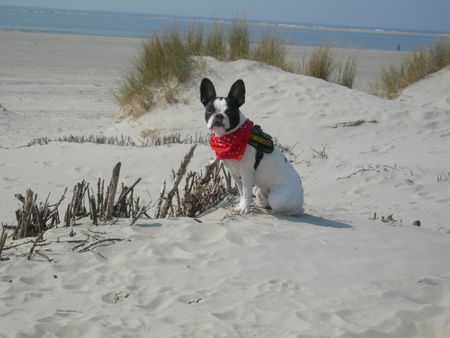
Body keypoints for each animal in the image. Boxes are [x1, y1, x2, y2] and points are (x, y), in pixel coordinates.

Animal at [201, 78, 304, 214]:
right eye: (209, 111)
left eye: (229, 112)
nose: (218, 115)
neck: (230, 137)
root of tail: (301, 195)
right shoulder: (234, 173)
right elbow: (241, 192)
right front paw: (241, 205)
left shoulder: (246, 172)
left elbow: (246, 192)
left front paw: (244, 208)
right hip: (259, 190)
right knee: (264, 200)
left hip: (278, 198)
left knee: (291, 210)